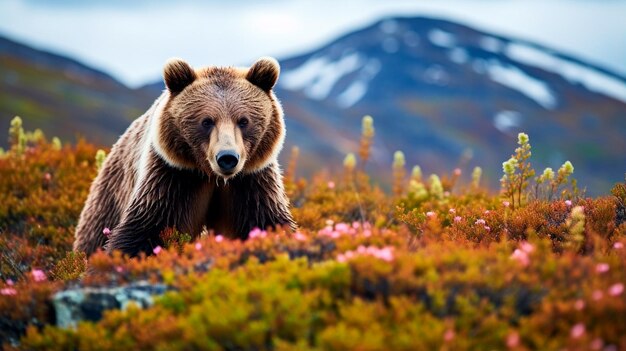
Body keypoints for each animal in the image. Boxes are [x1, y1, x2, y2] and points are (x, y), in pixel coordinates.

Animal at [72, 57, 296, 256]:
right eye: (206, 121)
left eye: (243, 121)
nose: (227, 157)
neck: (214, 178)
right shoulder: (173, 177)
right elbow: (146, 229)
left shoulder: (252, 181)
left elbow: (267, 222)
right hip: (110, 196)